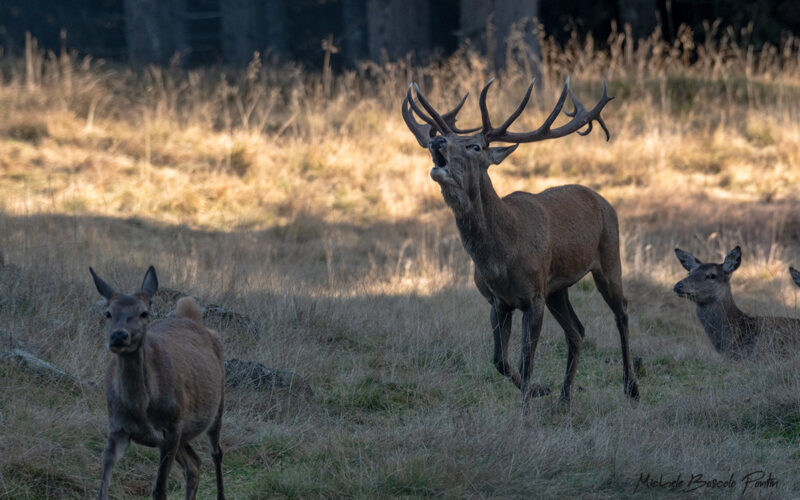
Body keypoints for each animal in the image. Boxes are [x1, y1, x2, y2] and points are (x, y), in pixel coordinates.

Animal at [90, 266, 225, 500]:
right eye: (108, 312)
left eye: (144, 313)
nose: (118, 336)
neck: (141, 408)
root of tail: (191, 316)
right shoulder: (117, 427)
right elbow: (103, 485)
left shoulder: (172, 425)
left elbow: (160, 489)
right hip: (184, 434)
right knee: (194, 464)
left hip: (217, 406)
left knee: (216, 452)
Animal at [401, 78, 639, 409]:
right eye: (444, 138)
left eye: (475, 146)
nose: (436, 144)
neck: (500, 258)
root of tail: (603, 200)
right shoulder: (498, 301)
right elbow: (500, 360)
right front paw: (539, 390)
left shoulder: (533, 298)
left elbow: (527, 359)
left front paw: (526, 410)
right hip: (557, 288)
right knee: (577, 331)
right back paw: (564, 399)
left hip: (608, 258)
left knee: (622, 312)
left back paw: (631, 388)